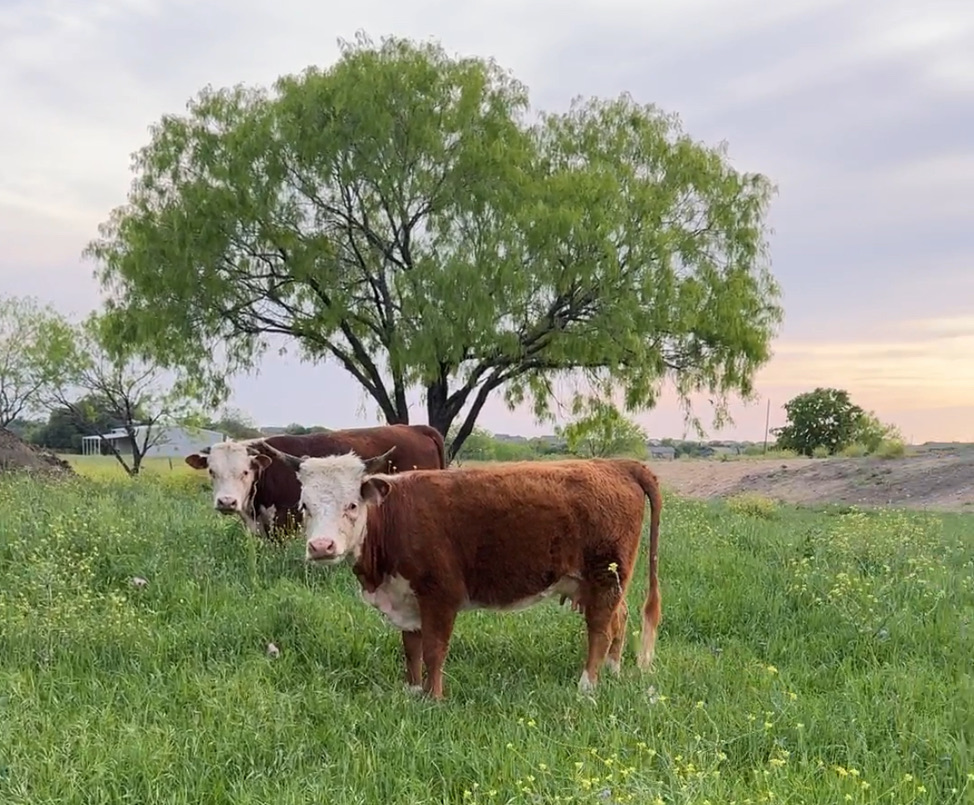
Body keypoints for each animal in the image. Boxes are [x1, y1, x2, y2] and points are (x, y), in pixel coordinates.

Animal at [264, 446, 663, 700]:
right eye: (305, 505)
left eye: (351, 504)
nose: (322, 547)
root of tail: (616, 465)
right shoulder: (406, 597)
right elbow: (411, 647)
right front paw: (412, 691)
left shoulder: (441, 594)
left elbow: (434, 649)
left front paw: (434, 698)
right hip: (602, 582)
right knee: (618, 619)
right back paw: (613, 671)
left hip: (604, 576)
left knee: (599, 629)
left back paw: (587, 686)